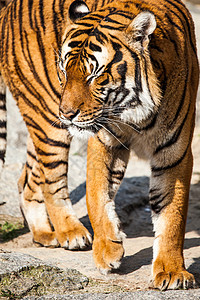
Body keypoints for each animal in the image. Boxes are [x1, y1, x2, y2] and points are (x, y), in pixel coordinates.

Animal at [0, 0, 198, 292]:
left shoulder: (174, 152)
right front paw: (107, 251)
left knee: (27, 178)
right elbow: (95, 196)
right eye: (64, 70)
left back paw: (45, 233)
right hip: (47, 121)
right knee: (51, 177)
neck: (134, 112)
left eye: (95, 75)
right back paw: (70, 232)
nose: (66, 113)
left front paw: (172, 271)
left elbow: (172, 215)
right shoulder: (103, 141)